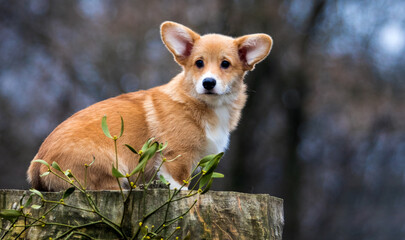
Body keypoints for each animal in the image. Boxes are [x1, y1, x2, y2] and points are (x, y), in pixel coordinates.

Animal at [26, 21, 272, 190]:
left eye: (225, 64)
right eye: (199, 63)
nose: (208, 83)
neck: (203, 103)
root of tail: (37, 165)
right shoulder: (177, 158)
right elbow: (180, 188)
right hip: (110, 171)